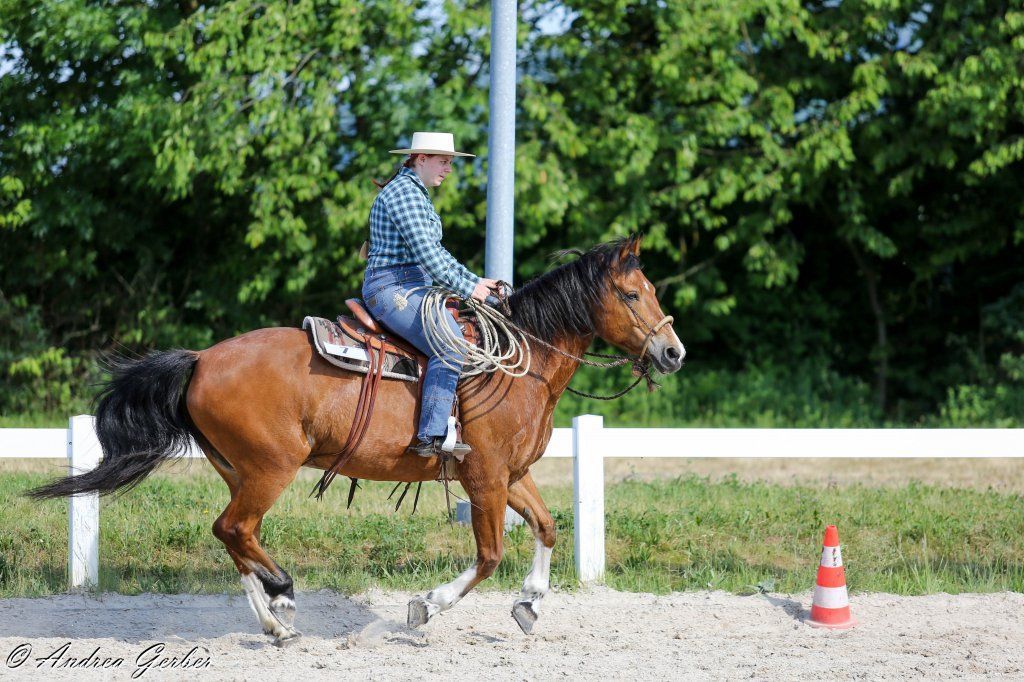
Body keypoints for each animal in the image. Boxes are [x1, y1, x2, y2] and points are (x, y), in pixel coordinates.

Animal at [29, 234, 685, 645]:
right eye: (631, 293)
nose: (672, 352)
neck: (514, 366)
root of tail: (200, 359)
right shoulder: (484, 477)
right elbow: (489, 555)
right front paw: (425, 608)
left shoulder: (510, 475)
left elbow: (548, 528)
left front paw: (529, 605)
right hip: (270, 468)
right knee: (234, 529)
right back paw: (283, 597)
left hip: (238, 470)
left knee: (234, 534)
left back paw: (275, 619)